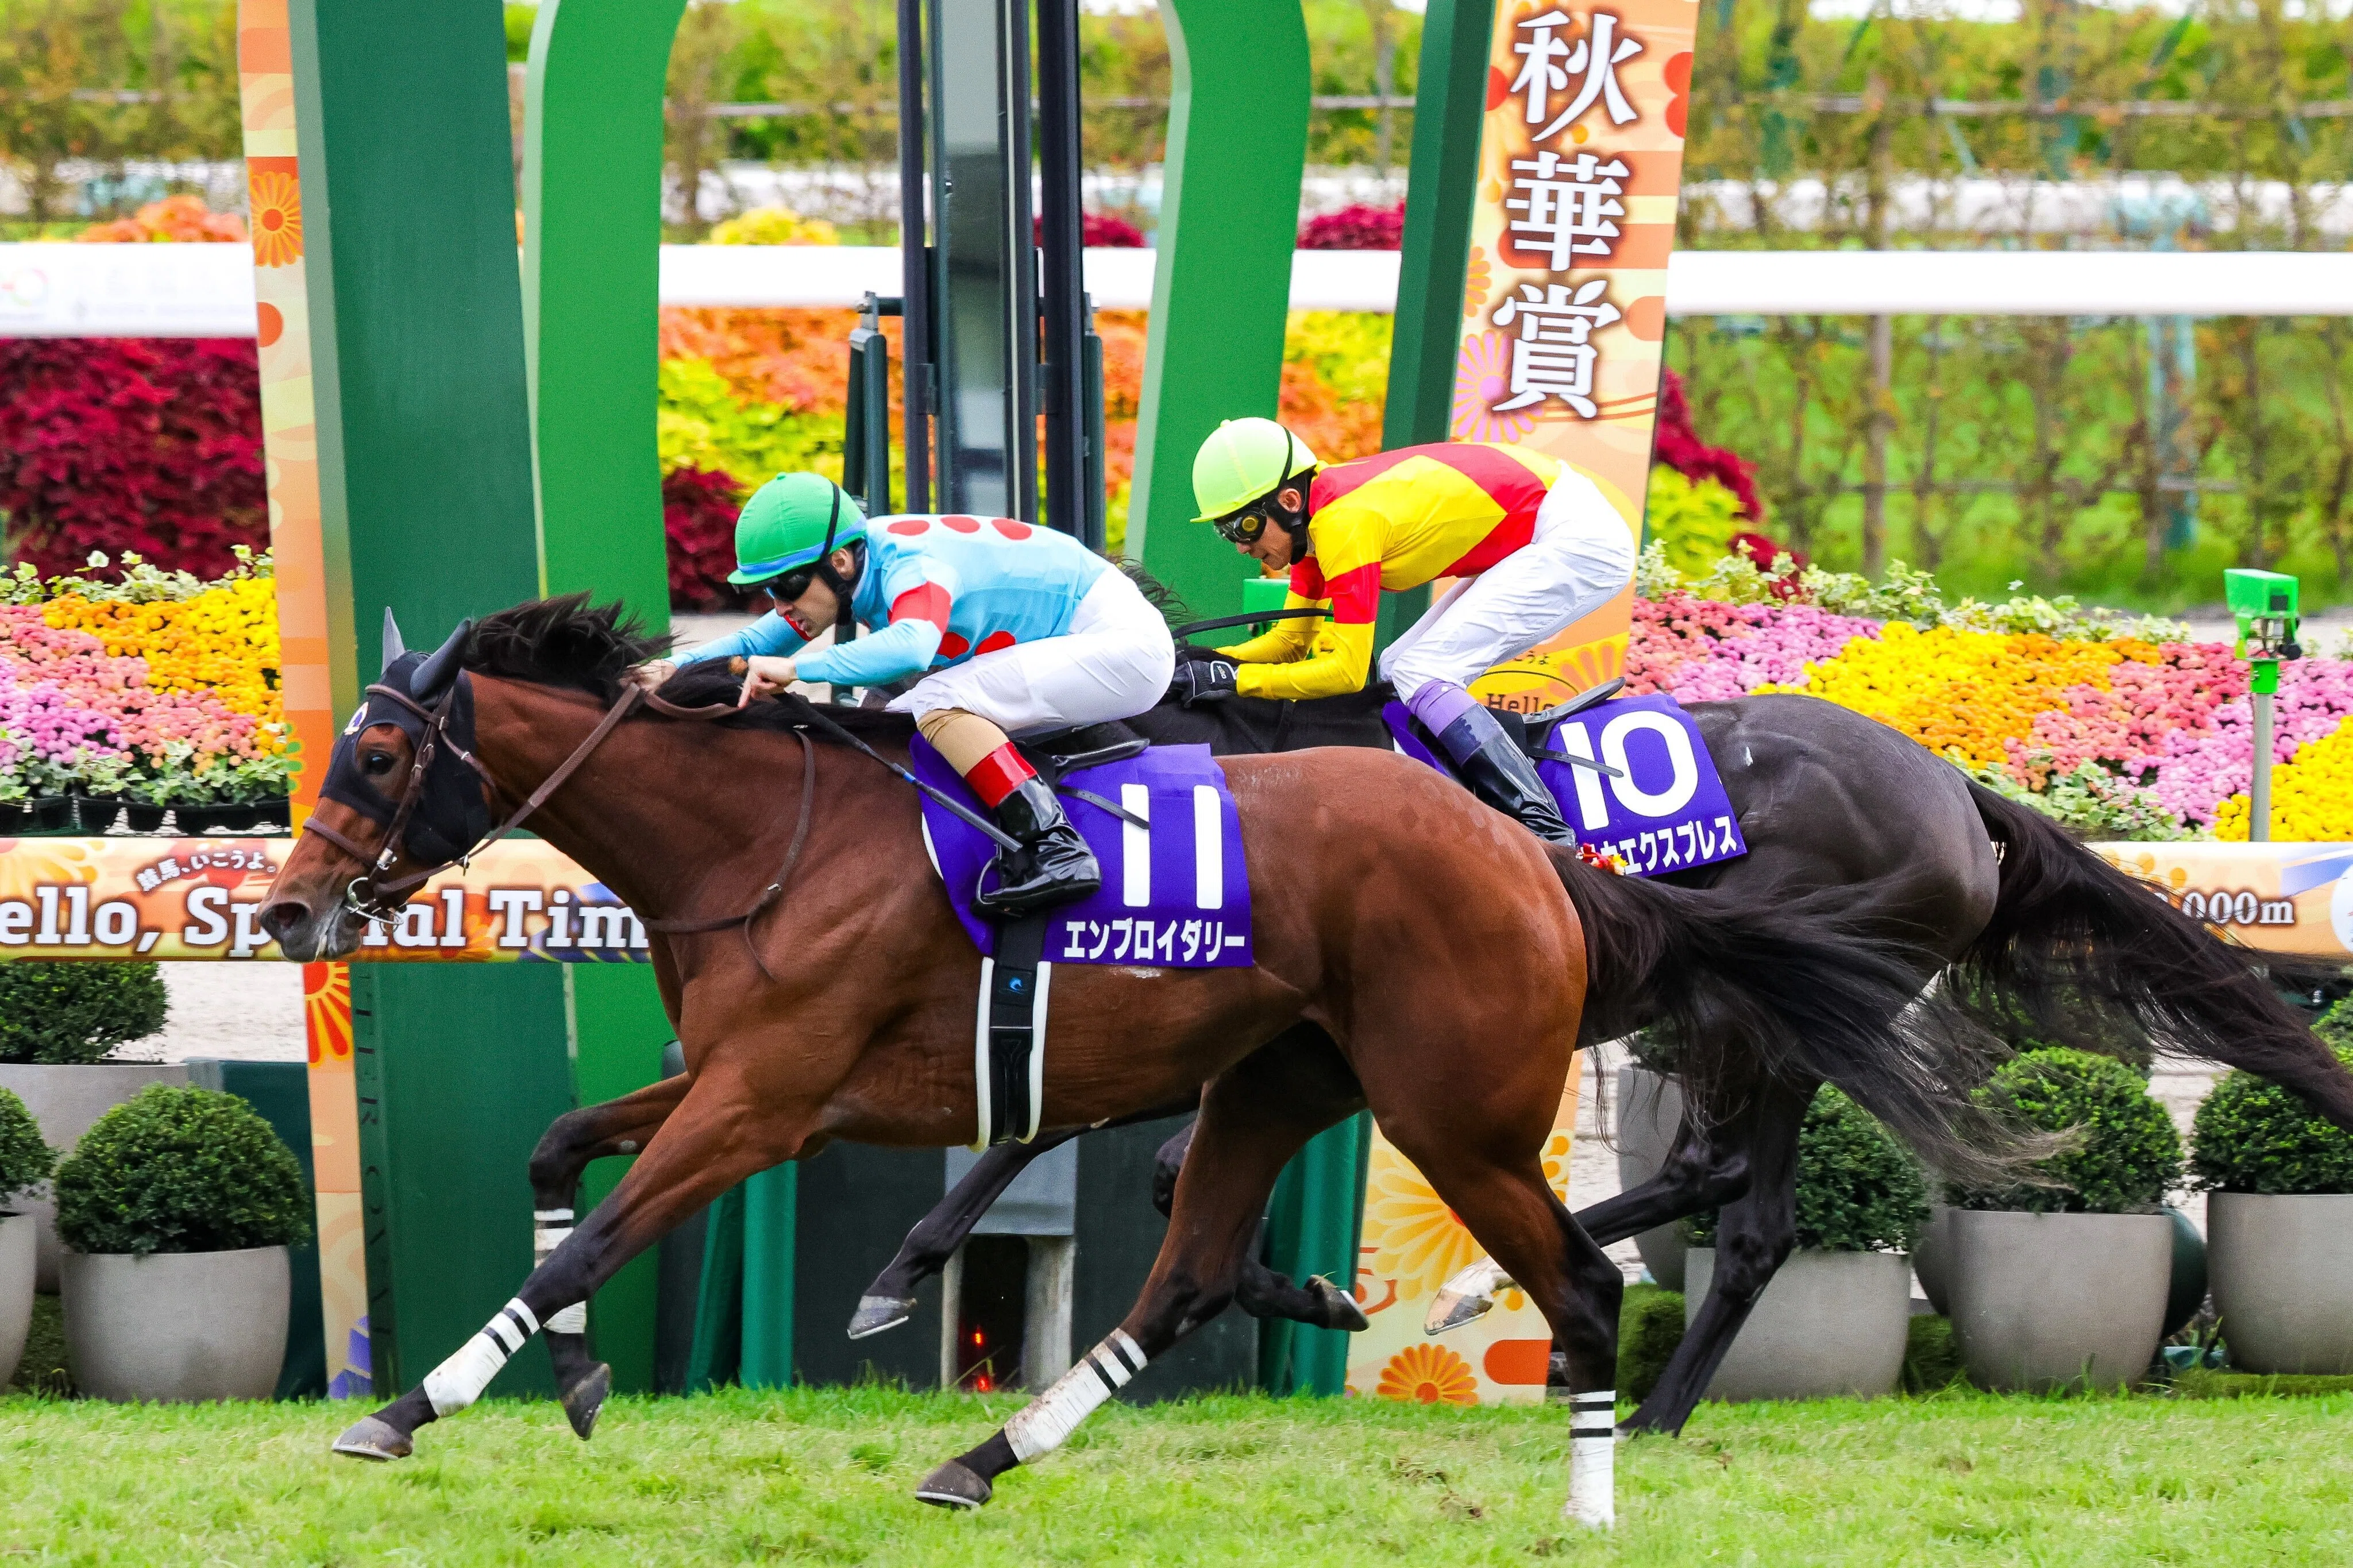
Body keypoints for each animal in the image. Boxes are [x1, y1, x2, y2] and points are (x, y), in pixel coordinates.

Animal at [256, 596, 1990, 1525]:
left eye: (384, 750)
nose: (283, 908)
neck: (767, 840)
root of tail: (1537, 857)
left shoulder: (766, 1106)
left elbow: (593, 1238)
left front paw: (407, 1407)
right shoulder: (737, 1078)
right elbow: (558, 1154)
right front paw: (572, 1376)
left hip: (1460, 1111)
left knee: (1588, 1280)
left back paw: (1589, 1492)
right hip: (1283, 1080)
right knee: (1186, 1271)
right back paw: (982, 1456)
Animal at [855, 680, 2353, 1436]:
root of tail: (1951, 789)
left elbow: (1105, 1139)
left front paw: (902, 1268)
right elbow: (1117, 1147)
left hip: (1767, 1013)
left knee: (1738, 1204)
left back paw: (1594, 1371)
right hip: (1752, 1018)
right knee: (1725, 1197)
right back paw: (1604, 1374)